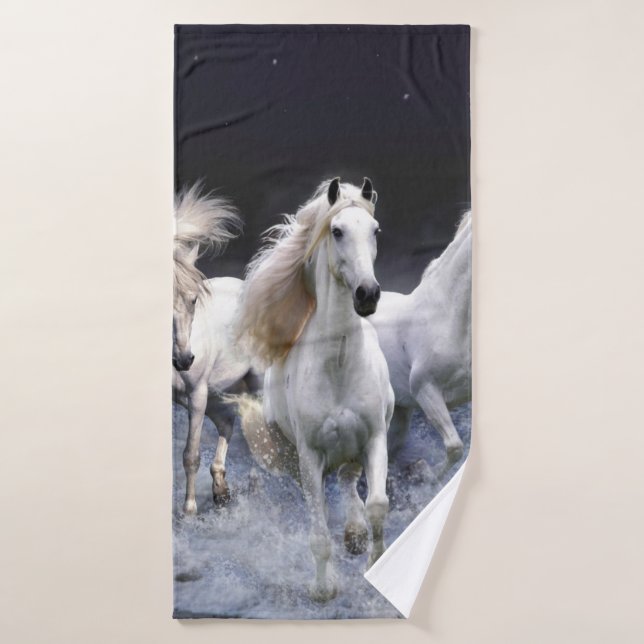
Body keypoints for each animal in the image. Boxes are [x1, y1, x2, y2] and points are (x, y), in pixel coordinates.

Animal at [173, 183, 257, 513]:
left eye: (194, 299)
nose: (184, 360)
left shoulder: (196, 394)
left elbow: (190, 455)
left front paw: (189, 512)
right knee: (228, 423)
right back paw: (221, 488)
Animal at [235, 178, 394, 602]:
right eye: (336, 231)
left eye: (375, 231)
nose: (367, 294)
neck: (337, 366)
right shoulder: (310, 456)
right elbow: (318, 532)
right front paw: (324, 589)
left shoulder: (375, 438)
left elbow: (377, 504)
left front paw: (373, 564)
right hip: (294, 459)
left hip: (354, 449)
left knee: (349, 481)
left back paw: (354, 535)